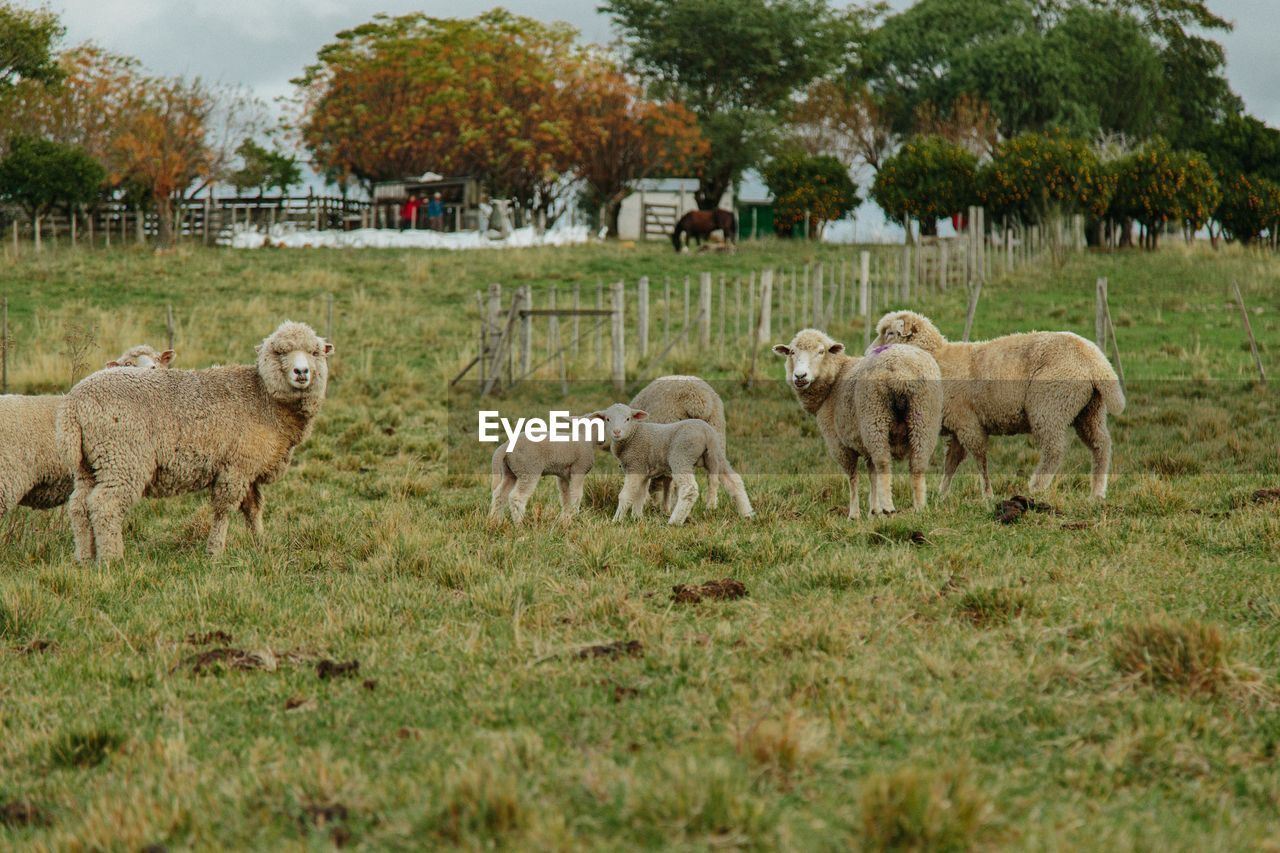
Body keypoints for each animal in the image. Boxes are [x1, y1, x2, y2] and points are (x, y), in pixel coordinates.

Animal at [59, 318, 330, 558]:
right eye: (279, 352)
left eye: (314, 352)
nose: (302, 372)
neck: (264, 398)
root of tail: (74, 402)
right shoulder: (236, 466)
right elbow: (223, 510)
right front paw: (215, 552)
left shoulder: (249, 467)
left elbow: (253, 509)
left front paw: (259, 544)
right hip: (122, 458)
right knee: (106, 505)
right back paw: (112, 559)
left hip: (89, 463)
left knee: (79, 506)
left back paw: (85, 558)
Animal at [591, 399, 757, 525]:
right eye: (607, 419)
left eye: (628, 419)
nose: (616, 432)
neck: (633, 435)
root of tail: (706, 432)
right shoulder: (643, 469)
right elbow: (640, 495)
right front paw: (636, 518)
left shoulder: (635, 465)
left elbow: (625, 495)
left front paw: (616, 521)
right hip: (718, 454)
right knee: (735, 481)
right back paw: (747, 514)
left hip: (681, 456)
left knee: (689, 489)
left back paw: (674, 521)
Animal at [768, 325, 942, 512]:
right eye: (792, 352)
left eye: (821, 351)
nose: (800, 376)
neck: (835, 379)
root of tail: (901, 371)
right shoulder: (864, 444)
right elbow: (872, 475)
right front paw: (874, 511)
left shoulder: (838, 444)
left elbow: (853, 477)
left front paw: (855, 513)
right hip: (923, 417)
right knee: (918, 464)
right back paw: (919, 508)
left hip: (874, 418)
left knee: (883, 463)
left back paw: (888, 507)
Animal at [875, 308, 1126, 499]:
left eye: (890, 333)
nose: (872, 351)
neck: (937, 358)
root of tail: (1096, 362)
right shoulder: (958, 424)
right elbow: (952, 462)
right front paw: (942, 494)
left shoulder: (967, 422)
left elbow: (979, 457)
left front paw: (987, 494)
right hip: (1090, 409)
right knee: (1101, 445)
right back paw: (1097, 492)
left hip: (1050, 404)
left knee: (1055, 449)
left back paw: (1036, 486)